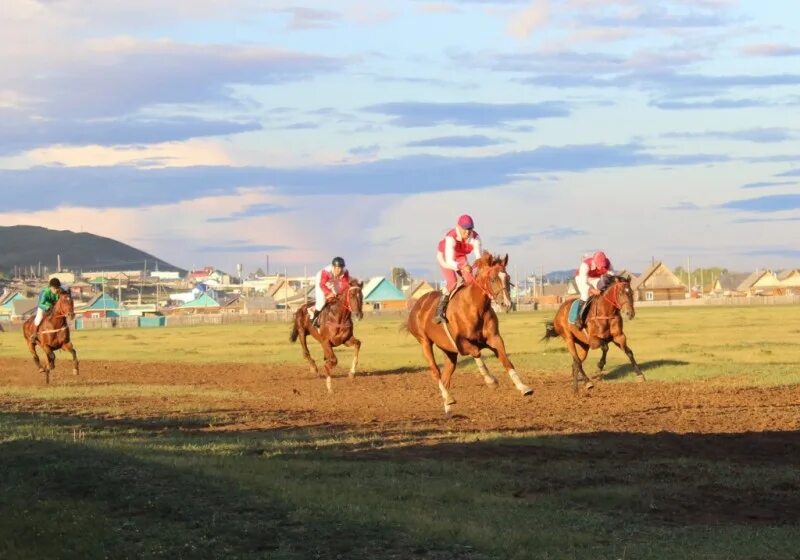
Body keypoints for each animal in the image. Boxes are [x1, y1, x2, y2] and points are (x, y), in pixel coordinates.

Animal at [406, 252, 532, 414]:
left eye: (508, 277)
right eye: (493, 279)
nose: (507, 303)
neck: (474, 306)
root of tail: (417, 304)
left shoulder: (494, 339)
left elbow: (505, 360)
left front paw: (523, 387)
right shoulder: (461, 343)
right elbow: (476, 352)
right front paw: (490, 381)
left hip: (449, 352)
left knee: (446, 377)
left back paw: (448, 406)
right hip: (424, 342)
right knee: (436, 372)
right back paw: (449, 398)